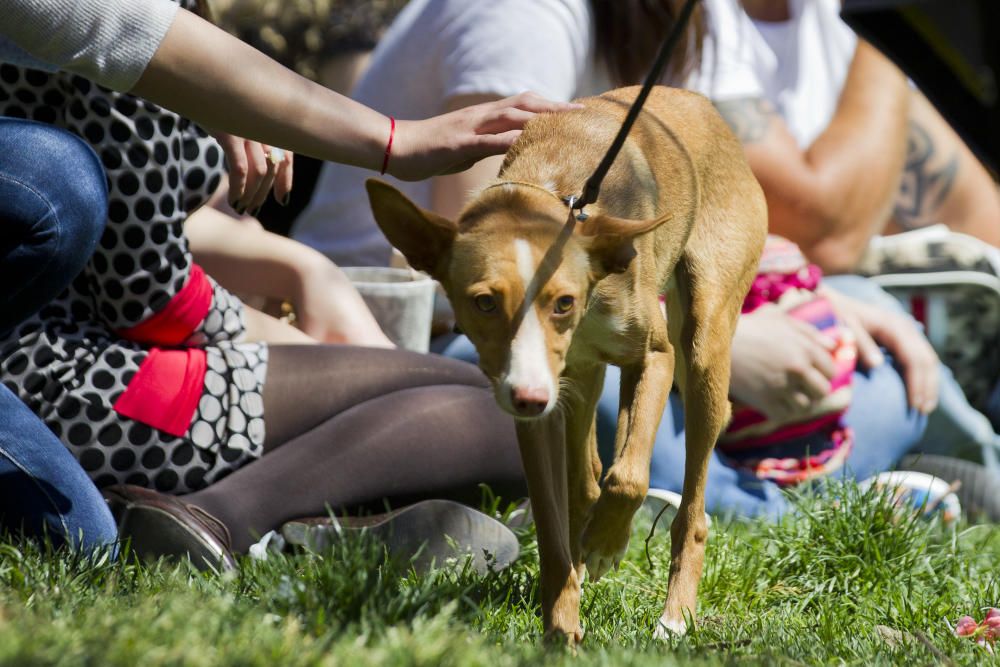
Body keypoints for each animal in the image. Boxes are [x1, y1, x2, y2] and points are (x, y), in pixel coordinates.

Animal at [368, 86, 764, 644]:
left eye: (563, 302)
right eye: (483, 302)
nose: (529, 397)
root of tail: (698, 101)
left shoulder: (654, 358)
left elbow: (630, 478)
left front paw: (606, 543)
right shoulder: (536, 414)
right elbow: (555, 527)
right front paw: (561, 622)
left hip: (702, 348)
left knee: (690, 507)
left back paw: (673, 612)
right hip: (584, 382)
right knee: (587, 477)